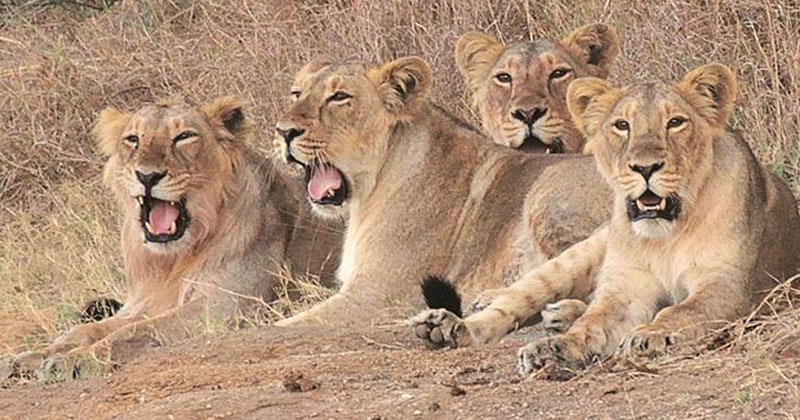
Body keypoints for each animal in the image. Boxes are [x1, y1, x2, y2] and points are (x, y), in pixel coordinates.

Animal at [6, 96, 341, 381]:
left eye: (184, 137)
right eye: (133, 139)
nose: (147, 176)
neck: (172, 259)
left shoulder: (224, 307)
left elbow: (132, 332)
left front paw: (73, 361)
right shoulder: (143, 303)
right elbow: (87, 329)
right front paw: (31, 357)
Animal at [271, 55, 611, 328]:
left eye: (339, 97)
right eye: (296, 93)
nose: (284, 132)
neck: (370, 188)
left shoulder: (379, 295)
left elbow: (283, 325)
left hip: (547, 192)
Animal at [411, 64, 800, 375]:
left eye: (675, 122)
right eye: (621, 126)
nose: (645, 167)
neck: (667, 232)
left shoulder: (728, 284)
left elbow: (682, 312)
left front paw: (650, 335)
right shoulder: (626, 286)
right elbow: (593, 323)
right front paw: (553, 351)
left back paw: (557, 314)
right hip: (575, 256)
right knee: (512, 303)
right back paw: (448, 326)